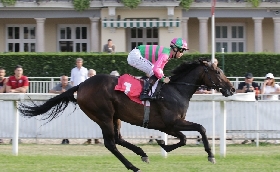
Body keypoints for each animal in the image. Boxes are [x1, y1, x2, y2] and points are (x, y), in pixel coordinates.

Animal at [19, 58, 234, 172]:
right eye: (218, 72)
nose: (231, 88)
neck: (176, 90)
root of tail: (81, 85)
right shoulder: (171, 123)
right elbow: (198, 130)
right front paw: (210, 155)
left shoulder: (170, 125)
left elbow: (185, 137)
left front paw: (161, 144)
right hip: (103, 115)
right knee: (111, 143)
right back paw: (133, 166)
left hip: (115, 116)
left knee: (118, 138)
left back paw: (142, 154)